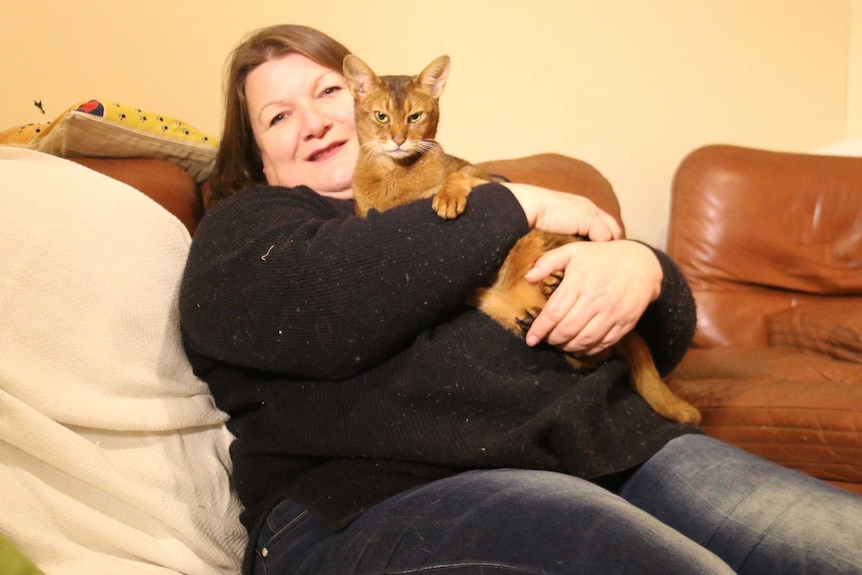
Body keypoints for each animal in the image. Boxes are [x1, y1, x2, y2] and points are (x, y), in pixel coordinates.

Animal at [344, 54, 704, 426]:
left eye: (415, 117)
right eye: (381, 116)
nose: (398, 140)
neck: (395, 176)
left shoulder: (483, 177)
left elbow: (460, 176)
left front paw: (448, 198)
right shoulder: (366, 210)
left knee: (594, 352)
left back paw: (549, 285)